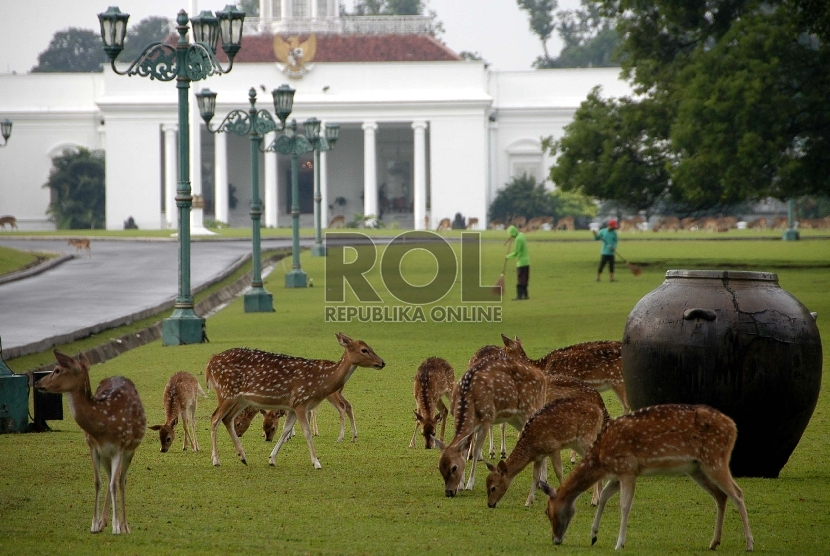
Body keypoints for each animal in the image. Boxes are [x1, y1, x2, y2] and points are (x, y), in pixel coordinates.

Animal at [36, 352, 146, 536]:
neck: (103, 423)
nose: (37, 382)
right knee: (110, 478)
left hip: (130, 449)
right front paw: (94, 524)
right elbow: (98, 482)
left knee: (121, 481)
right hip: (106, 456)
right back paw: (103, 522)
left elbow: (115, 484)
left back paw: (124, 525)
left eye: (57, 370)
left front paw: (116, 527)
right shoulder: (93, 446)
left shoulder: (120, 446)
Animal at [206, 334, 386, 470]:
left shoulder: (292, 407)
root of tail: (209, 363)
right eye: (364, 350)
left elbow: (285, 430)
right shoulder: (300, 402)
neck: (322, 381)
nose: (382, 362)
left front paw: (272, 459)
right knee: (214, 418)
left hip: (240, 399)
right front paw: (316, 462)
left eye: (370, 347)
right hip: (226, 392)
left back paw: (243, 457)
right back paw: (216, 460)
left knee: (227, 419)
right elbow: (306, 432)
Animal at [432, 352, 548, 496]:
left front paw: (469, 484)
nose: (449, 492)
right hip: (517, 418)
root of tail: (543, 377)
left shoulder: (487, 419)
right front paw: (460, 485)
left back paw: (543, 480)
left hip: (532, 407)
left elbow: (476, 451)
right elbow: (464, 451)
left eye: (454, 467)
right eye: (440, 467)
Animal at [540, 404, 752, 552]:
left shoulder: (628, 468)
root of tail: (733, 427)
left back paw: (749, 544)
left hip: (715, 458)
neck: (601, 457)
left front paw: (619, 543)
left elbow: (625, 505)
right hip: (697, 468)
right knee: (721, 496)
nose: (555, 540)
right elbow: (604, 497)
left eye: (547, 511)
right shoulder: (617, 474)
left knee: (738, 493)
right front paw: (593, 535)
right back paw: (714, 542)